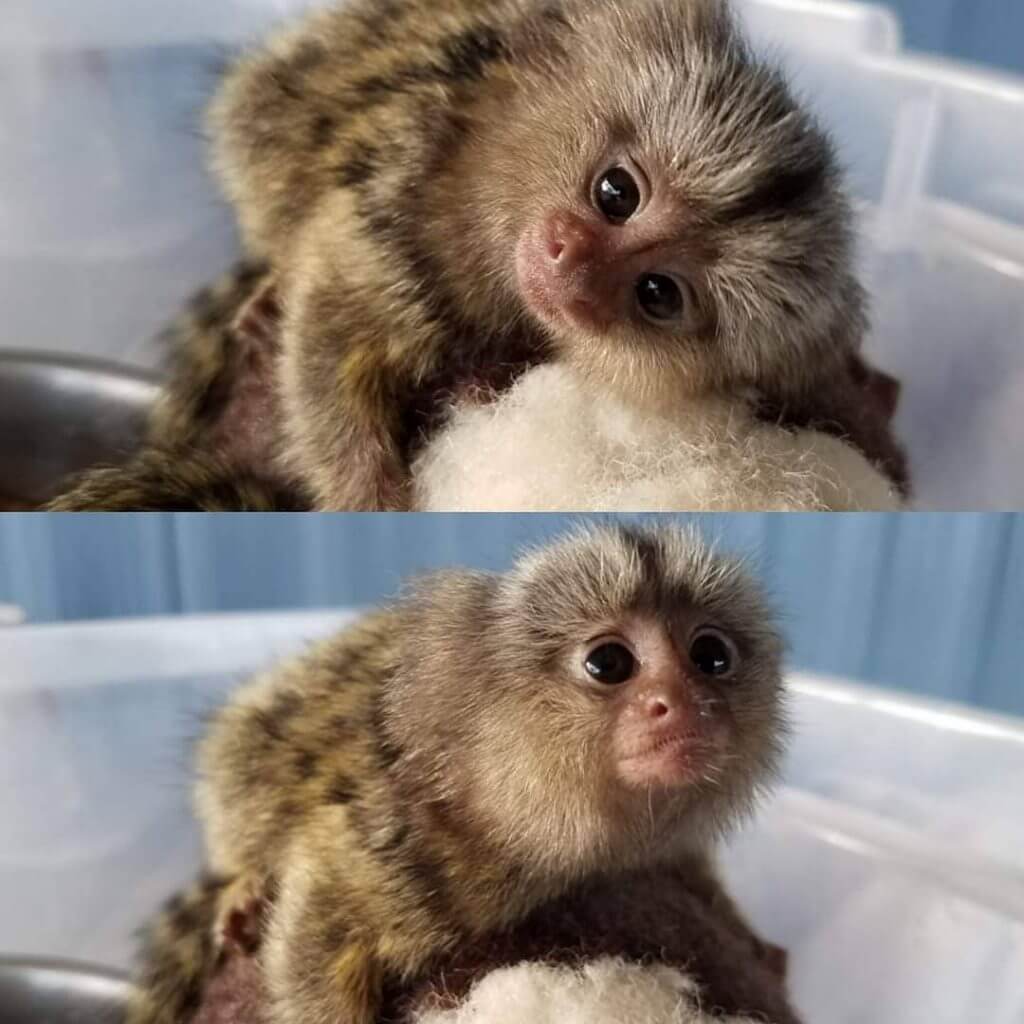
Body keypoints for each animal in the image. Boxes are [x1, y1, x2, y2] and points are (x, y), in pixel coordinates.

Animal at [48, 0, 910, 511]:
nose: (568, 260)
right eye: (616, 192)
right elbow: (334, 322)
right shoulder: (405, 204)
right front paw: (370, 497)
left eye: (658, 294)